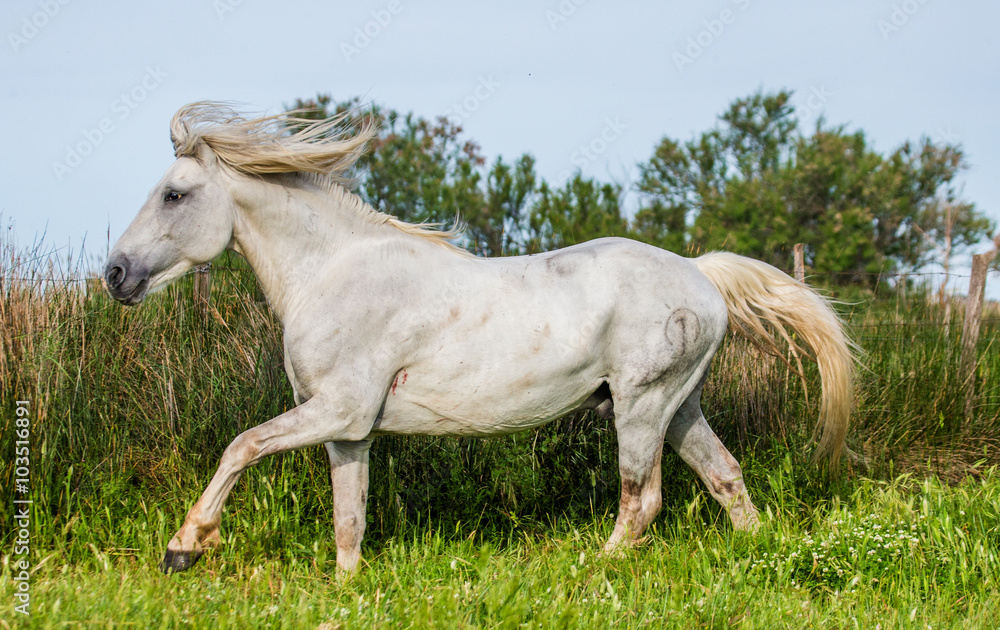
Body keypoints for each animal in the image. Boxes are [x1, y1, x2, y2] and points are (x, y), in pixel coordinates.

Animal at [104, 102, 854, 574]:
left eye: (174, 194)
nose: (116, 275)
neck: (333, 272)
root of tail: (699, 272)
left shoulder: (335, 410)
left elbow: (241, 446)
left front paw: (184, 546)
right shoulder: (349, 428)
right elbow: (350, 522)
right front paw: (345, 588)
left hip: (642, 407)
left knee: (643, 502)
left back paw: (592, 569)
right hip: (678, 406)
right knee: (726, 480)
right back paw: (761, 556)